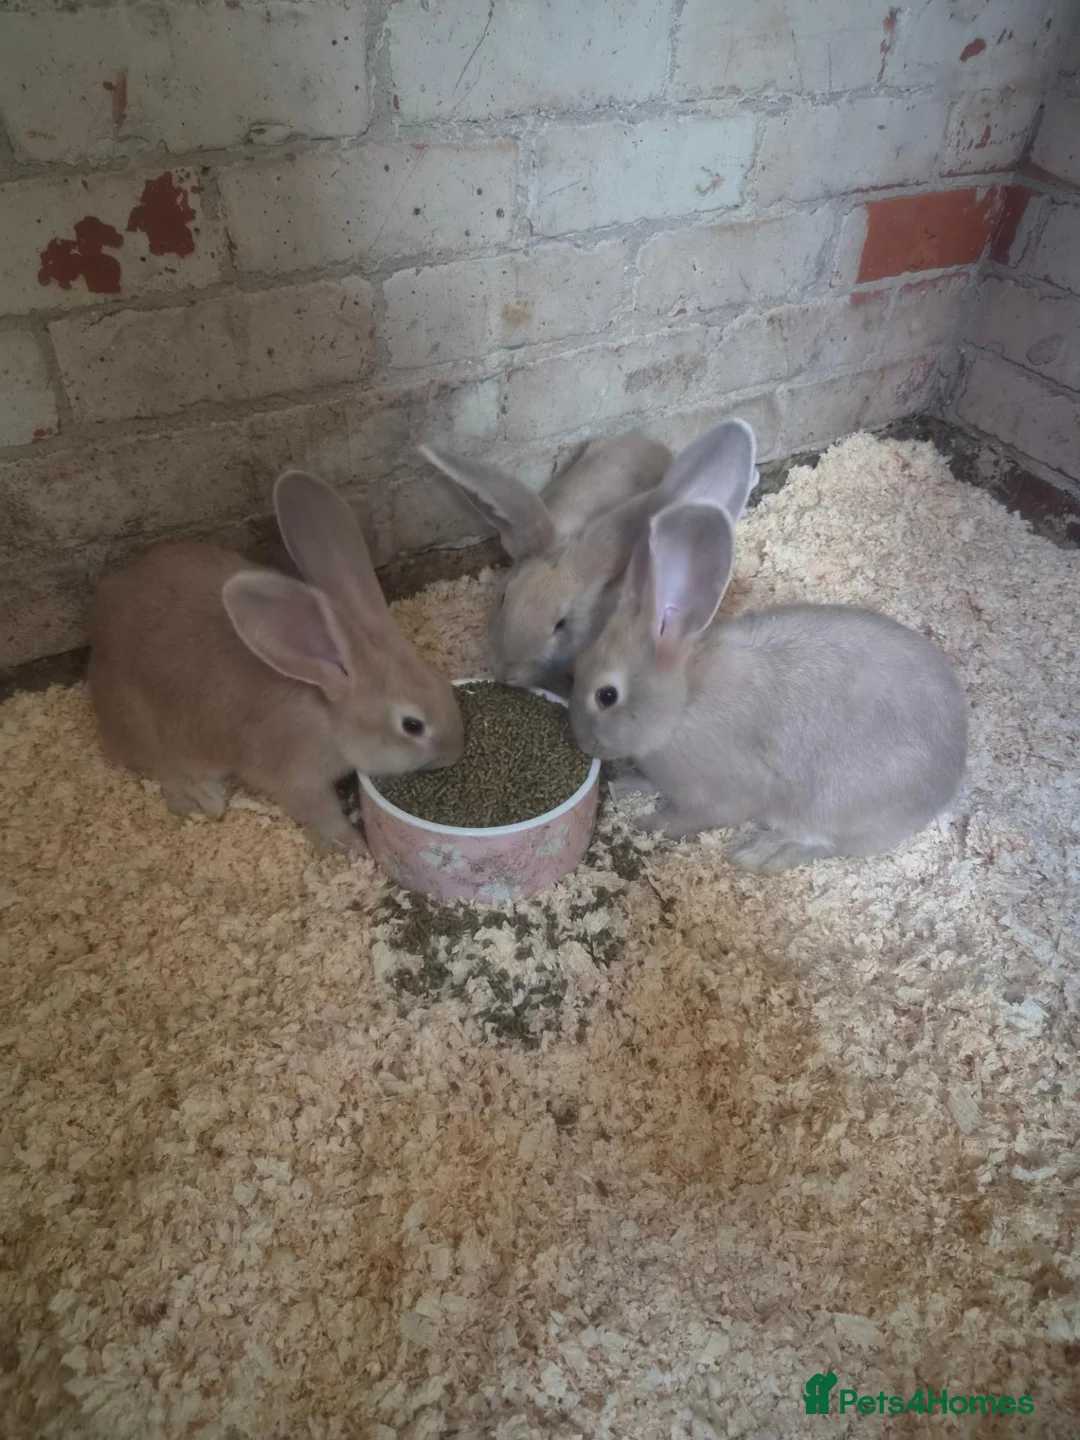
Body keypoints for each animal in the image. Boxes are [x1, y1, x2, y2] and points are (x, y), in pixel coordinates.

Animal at [88, 469, 464, 853]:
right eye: (412, 725)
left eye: (441, 681)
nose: (456, 751)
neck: (327, 709)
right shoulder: (295, 772)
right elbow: (317, 809)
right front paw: (349, 846)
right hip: (156, 736)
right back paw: (204, 799)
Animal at [569, 494, 968, 872]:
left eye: (606, 696)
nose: (582, 742)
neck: (683, 701)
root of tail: (950, 777)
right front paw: (626, 786)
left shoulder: (716, 795)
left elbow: (686, 819)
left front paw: (647, 823)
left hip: (832, 808)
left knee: (824, 844)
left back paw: (761, 853)